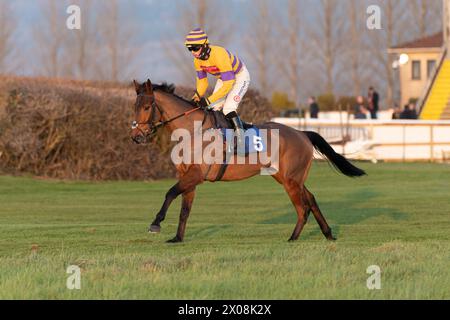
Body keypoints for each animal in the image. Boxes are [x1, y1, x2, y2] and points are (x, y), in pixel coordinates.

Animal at [130, 79, 366, 242]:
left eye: (146, 107)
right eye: (134, 107)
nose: (136, 136)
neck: (193, 130)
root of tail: (302, 133)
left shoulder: (196, 175)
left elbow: (169, 193)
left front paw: (155, 223)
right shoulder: (188, 177)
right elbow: (184, 210)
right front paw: (177, 238)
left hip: (291, 180)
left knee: (302, 208)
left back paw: (293, 238)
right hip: (288, 177)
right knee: (311, 199)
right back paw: (328, 233)